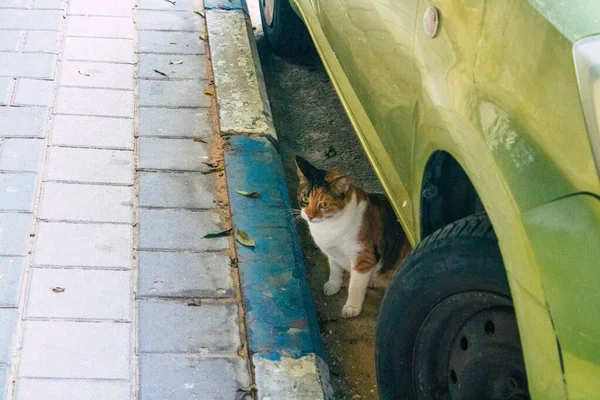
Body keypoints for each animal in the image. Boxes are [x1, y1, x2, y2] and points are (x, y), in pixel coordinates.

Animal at [296, 156, 412, 318]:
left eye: (324, 204)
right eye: (305, 199)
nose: (310, 216)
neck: (329, 225)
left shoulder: (363, 258)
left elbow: (355, 286)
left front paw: (352, 307)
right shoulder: (333, 253)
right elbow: (335, 269)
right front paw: (333, 285)